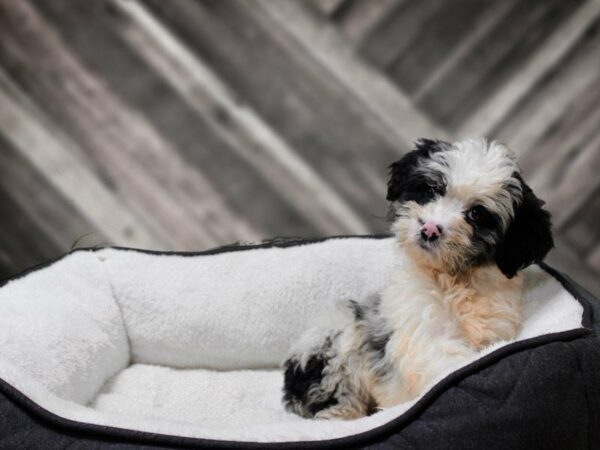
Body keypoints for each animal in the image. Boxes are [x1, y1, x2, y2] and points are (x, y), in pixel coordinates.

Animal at [282, 139, 552, 420]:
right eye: (431, 190)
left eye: (477, 214)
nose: (430, 229)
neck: (454, 278)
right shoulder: (423, 322)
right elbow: (447, 363)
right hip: (332, 350)